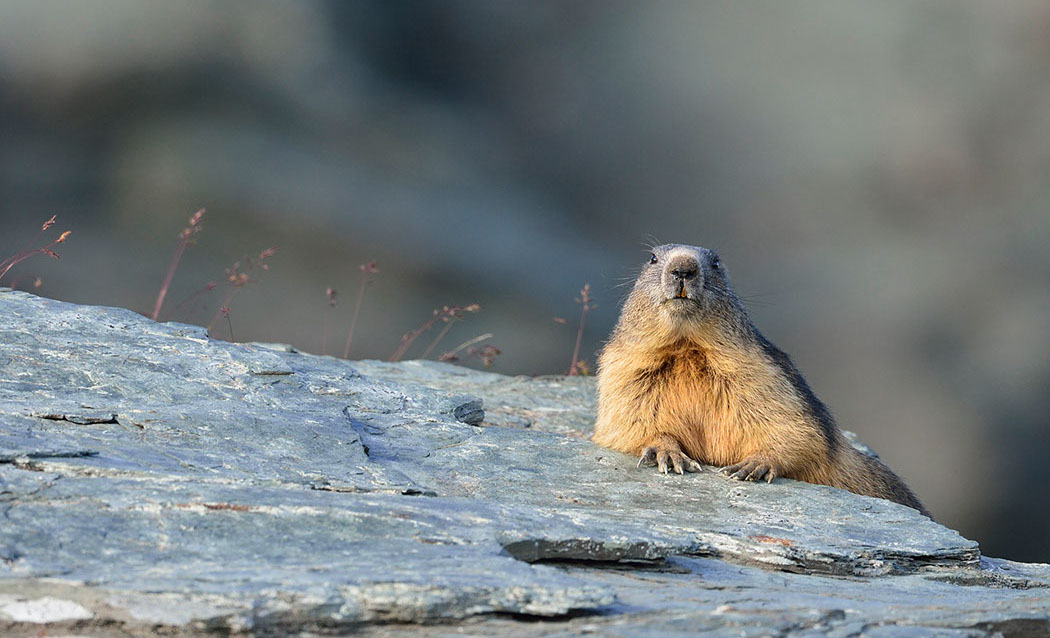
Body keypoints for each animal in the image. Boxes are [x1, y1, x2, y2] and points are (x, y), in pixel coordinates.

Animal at [591, 243, 929, 516]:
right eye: (651, 258)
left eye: (716, 262)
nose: (683, 268)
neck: (687, 349)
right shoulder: (623, 370)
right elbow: (627, 419)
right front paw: (666, 450)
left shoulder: (763, 371)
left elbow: (792, 425)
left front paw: (754, 463)